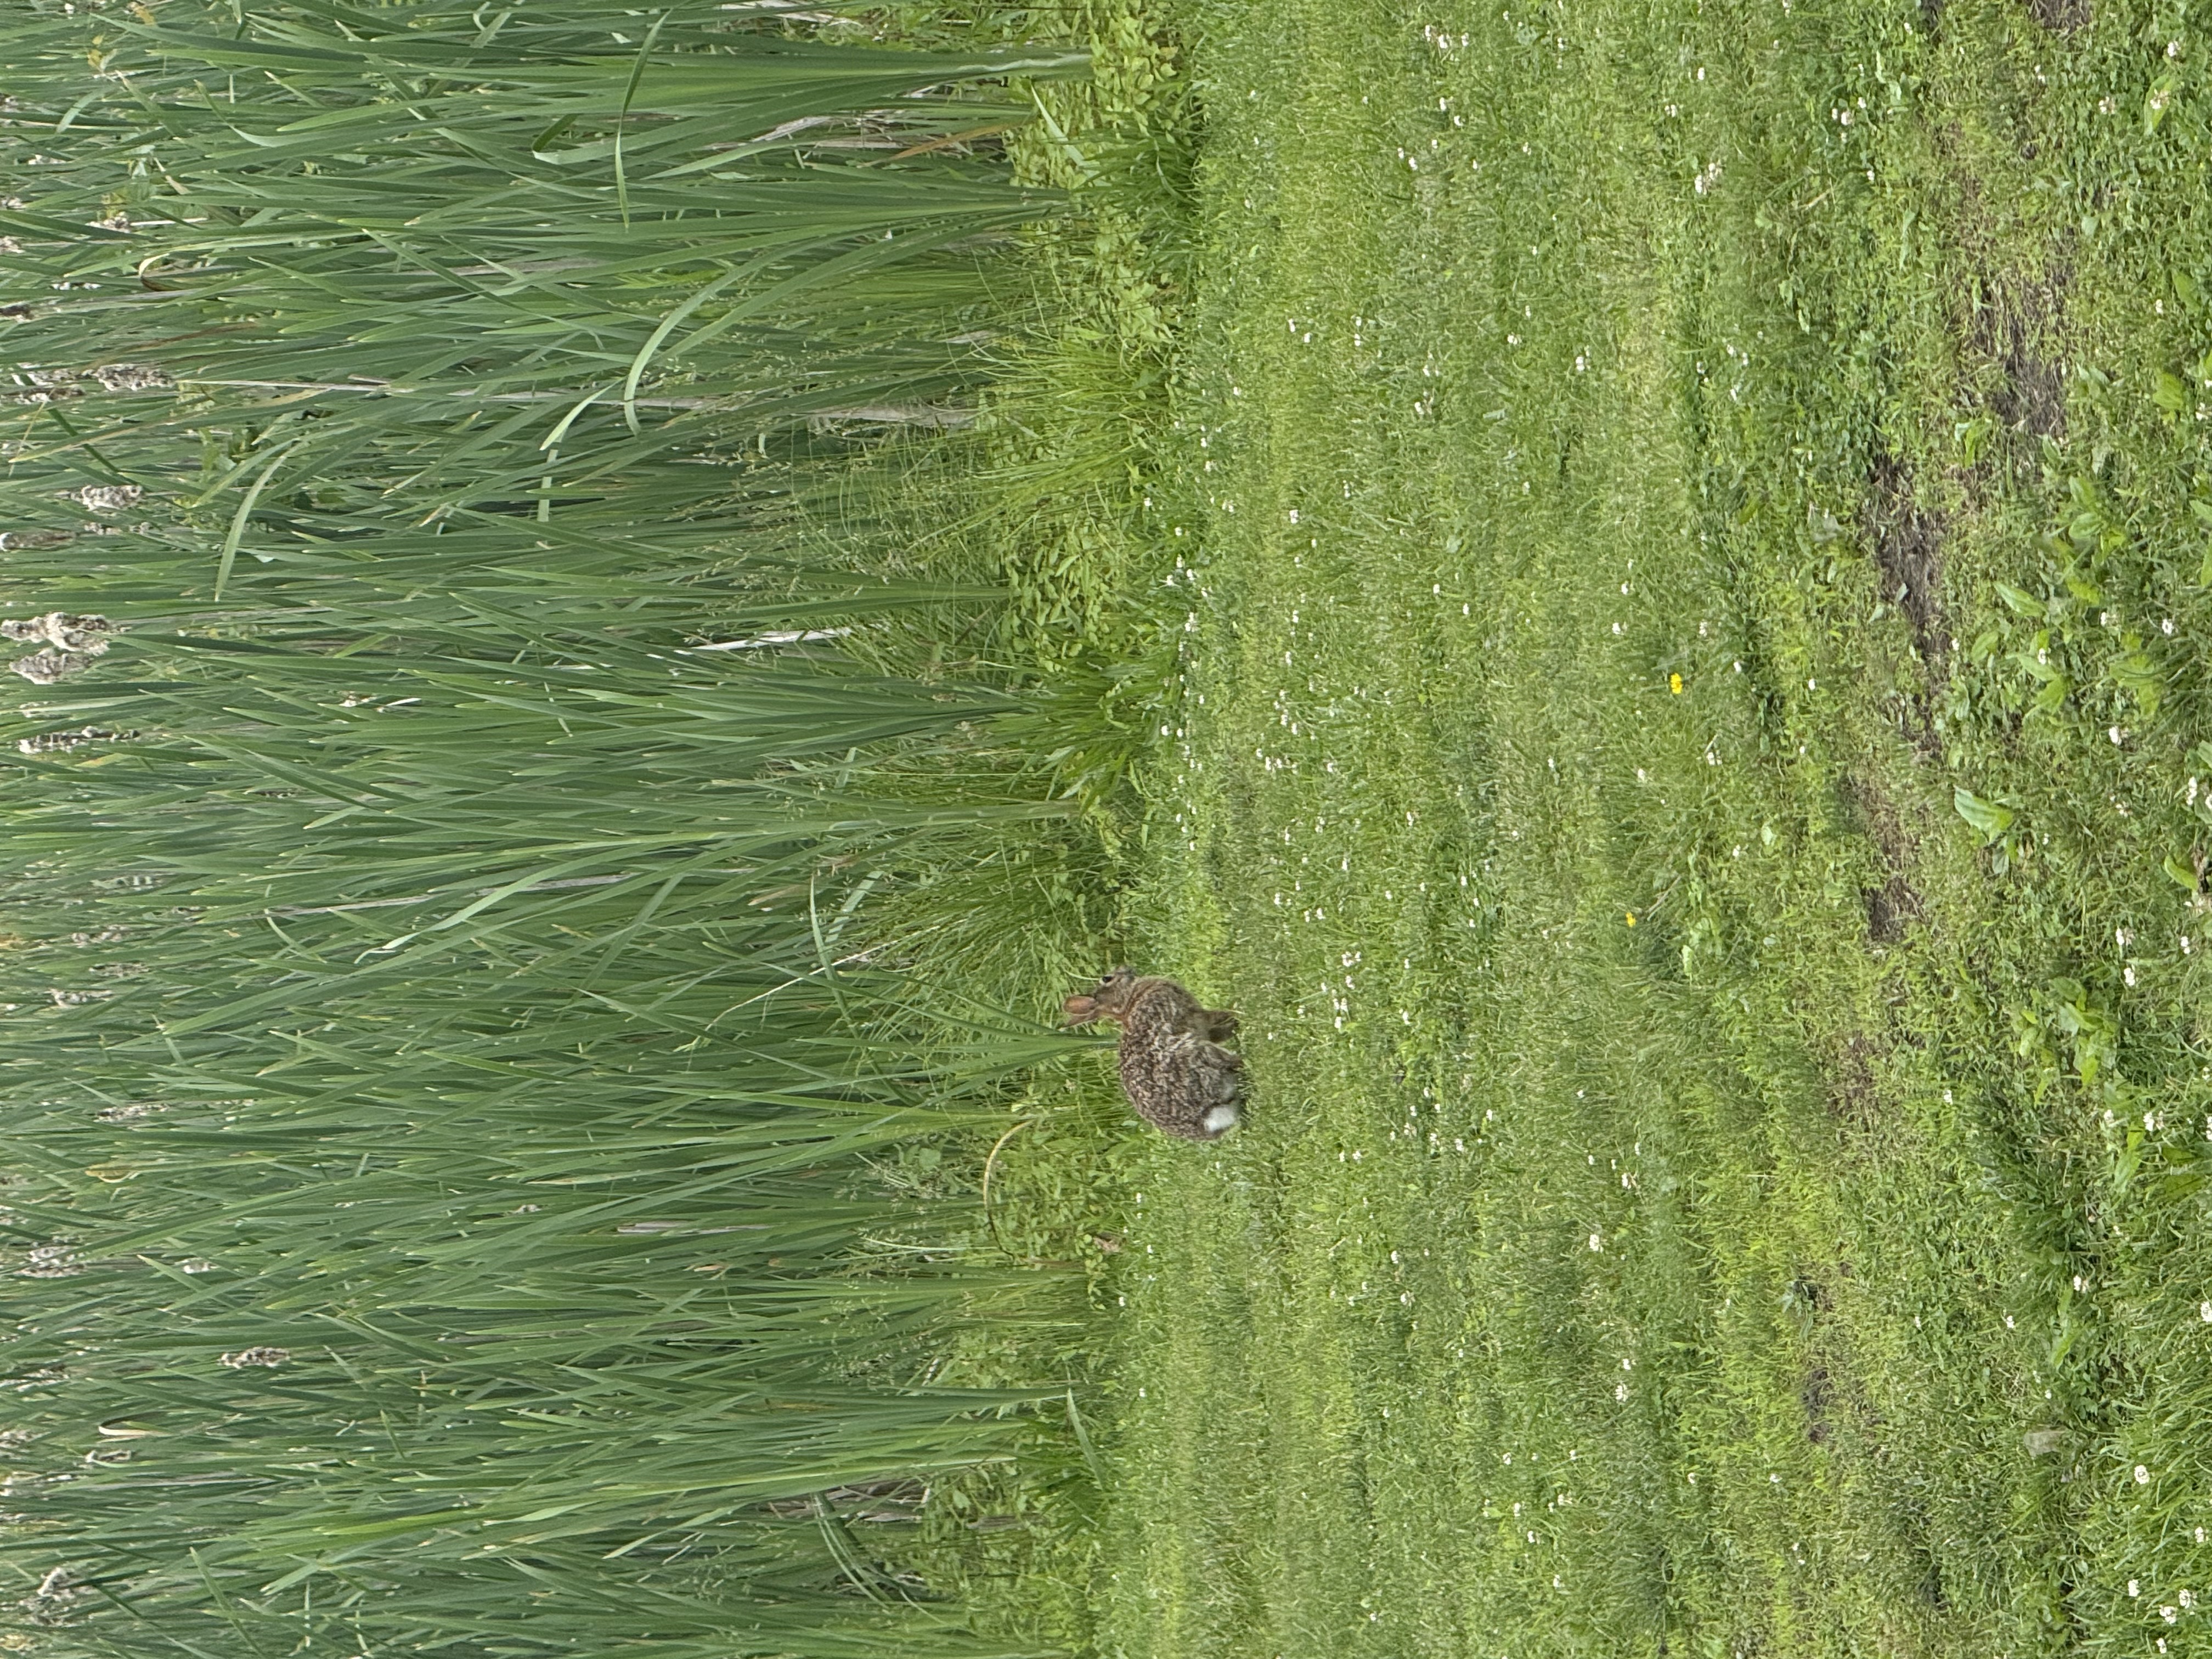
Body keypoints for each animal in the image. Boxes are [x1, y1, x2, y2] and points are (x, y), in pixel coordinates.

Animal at [1063, 966, 1244, 1140]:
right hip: (1203, 1054)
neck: (1129, 1002)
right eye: (1107, 978)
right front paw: (1236, 1018)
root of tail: (1206, 1118)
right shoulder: (1195, 1014)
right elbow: (1218, 1018)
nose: (1126, 968)